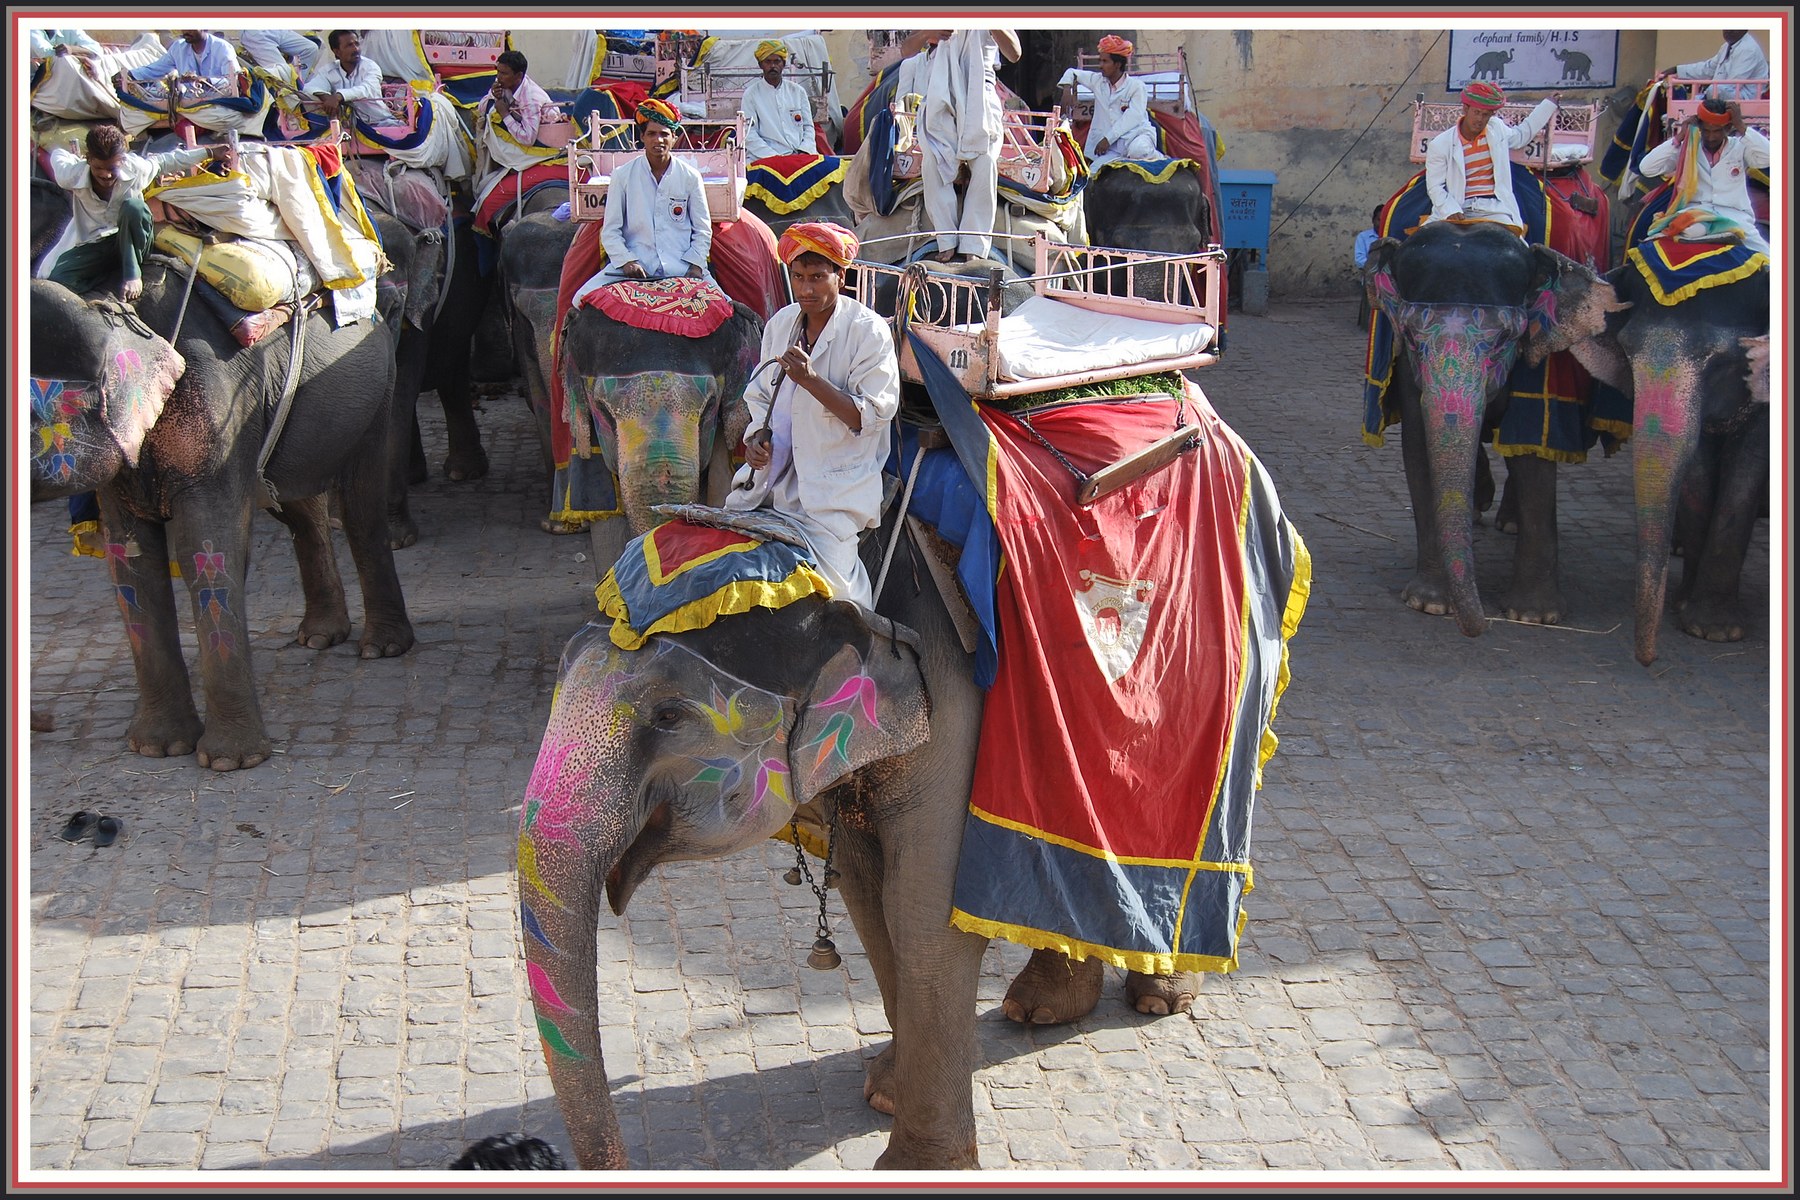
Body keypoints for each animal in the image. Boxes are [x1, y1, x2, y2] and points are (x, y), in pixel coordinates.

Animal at [27, 264, 414, 773]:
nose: (46, 724)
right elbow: (130, 560)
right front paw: (157, 749)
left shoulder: (220, 410)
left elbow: (204, 546)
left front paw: (229, 762)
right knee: (297, 507)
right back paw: (318, 638)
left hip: (376, 388)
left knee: (359, 509)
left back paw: (381, 648)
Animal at [1360, 222, 1620, 644]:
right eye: (1412, 338)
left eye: (1502, 341)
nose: (1481, 627)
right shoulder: (1407, 367)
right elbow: (1418, 447)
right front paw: (1429, 604)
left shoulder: (1541, 357)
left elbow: (1532, 454)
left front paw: (1534, 615)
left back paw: (1507, 523)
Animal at [1519, 259, 1771, 665]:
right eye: (1626, 350)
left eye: (1722, 362)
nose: (1648, 659)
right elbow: (1696, 470)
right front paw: (1686, 610)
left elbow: (1746, 474)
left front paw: (1716, 632)